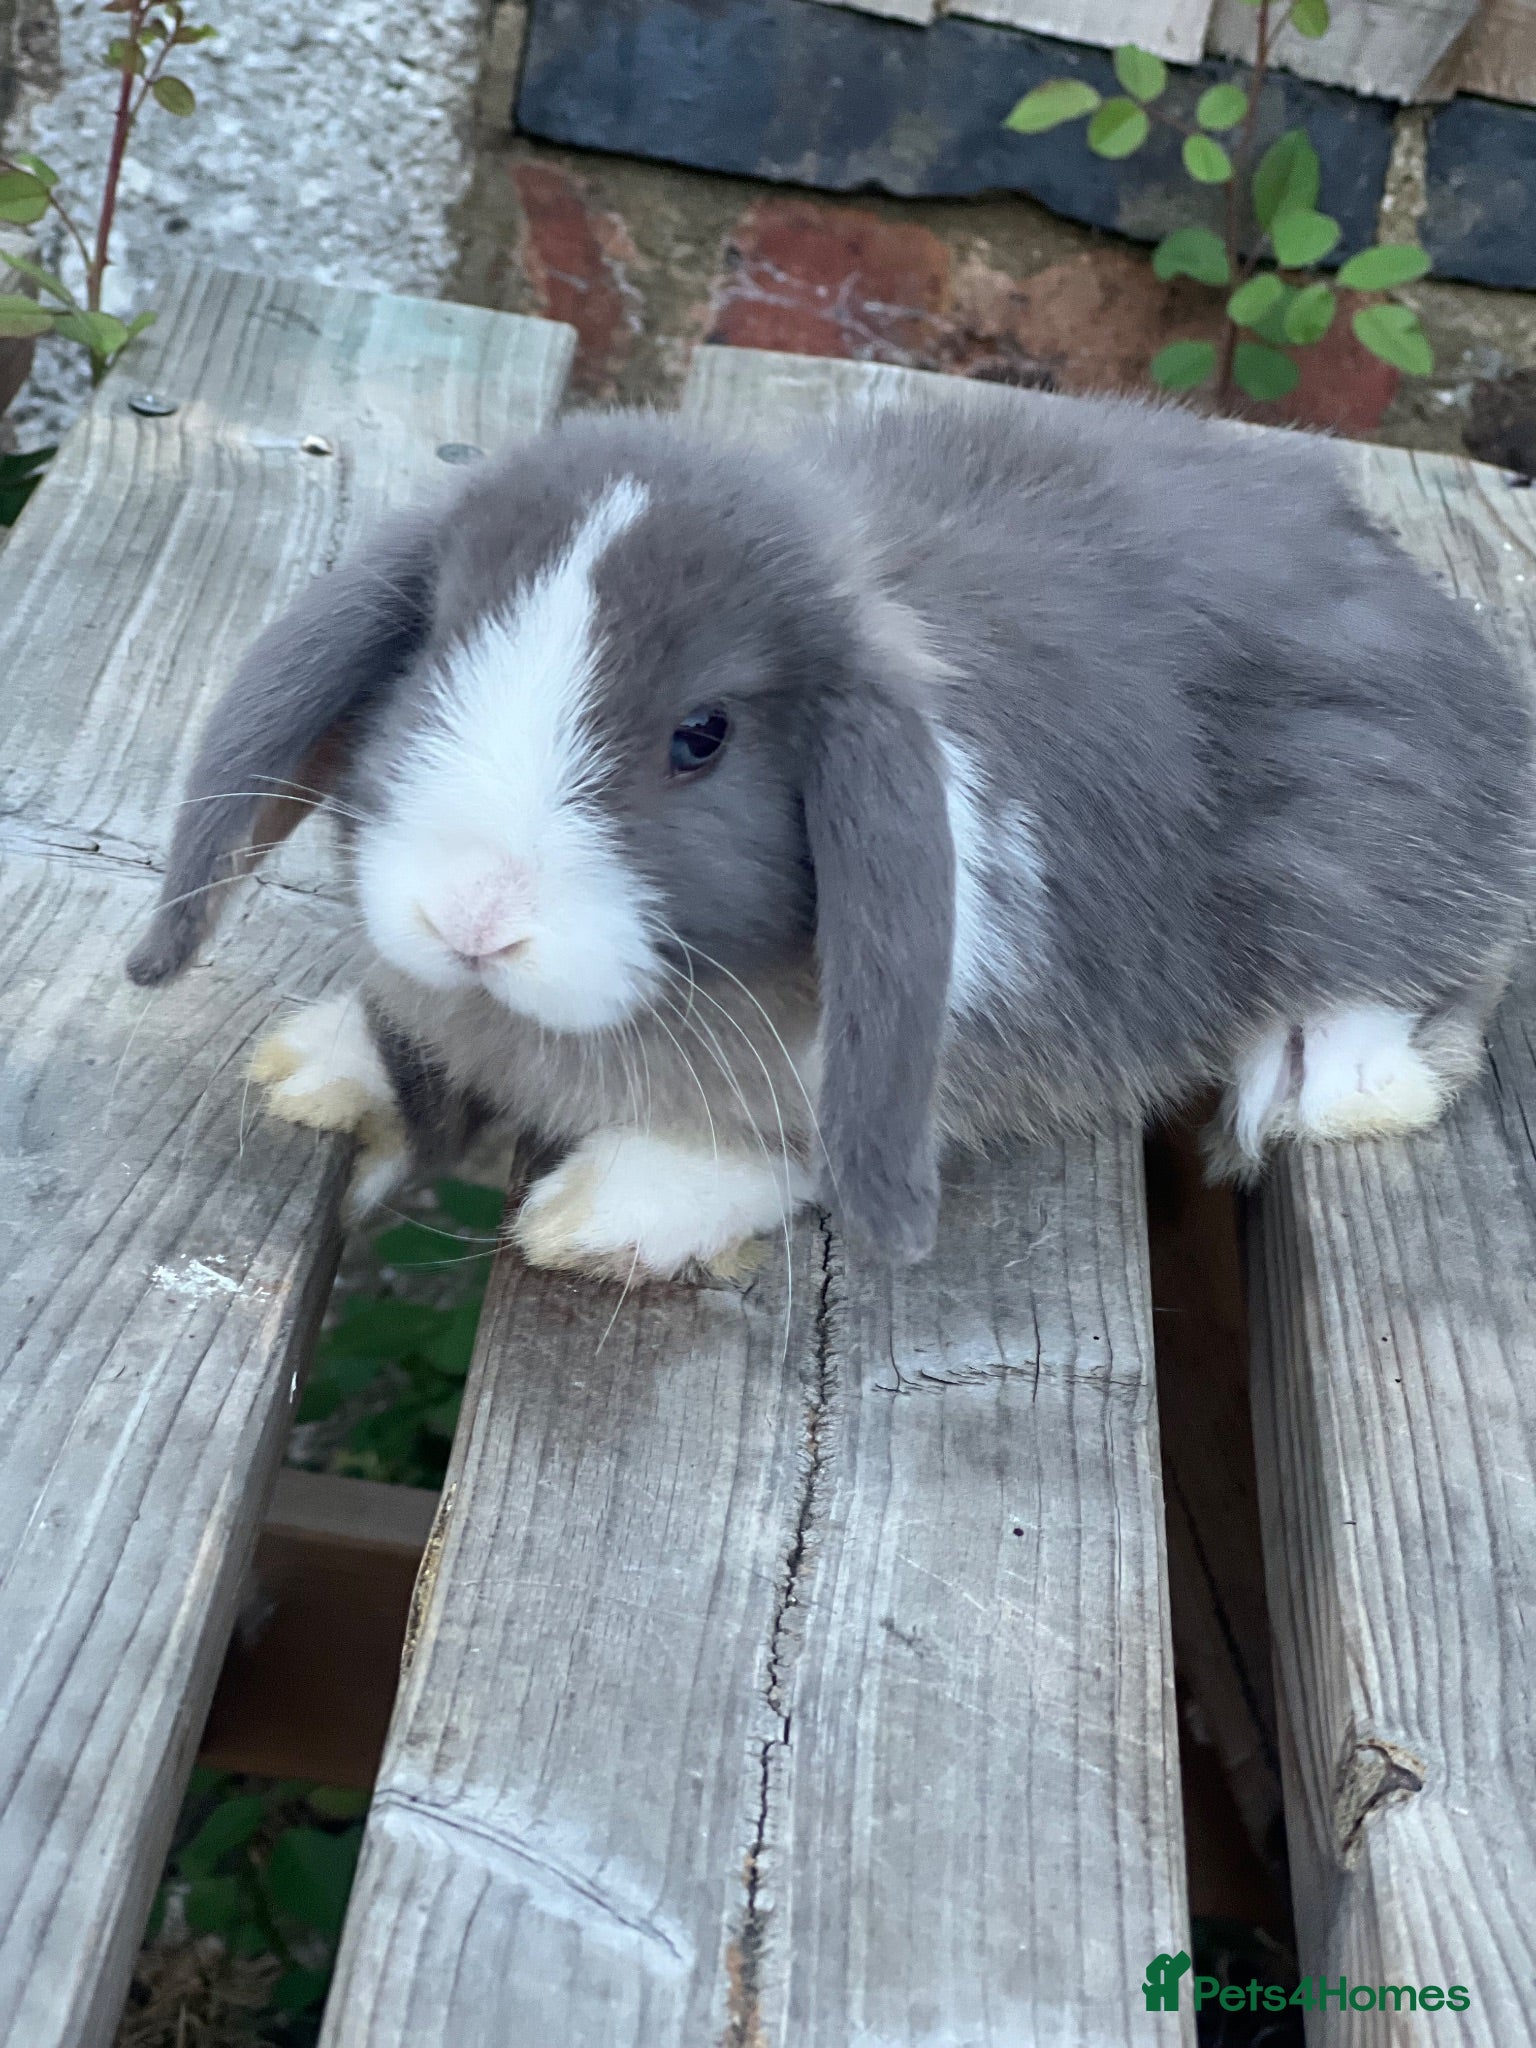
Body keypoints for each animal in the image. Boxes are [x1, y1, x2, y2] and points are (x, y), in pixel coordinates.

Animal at [126, 392, 1533, 1280]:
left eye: (702, 736)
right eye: (429, 659)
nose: (472, 914)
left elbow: (783, 1147)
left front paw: (609, 1212)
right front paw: (321, 1062)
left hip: (1360, 849)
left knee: (1423, 982)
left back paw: (1315, 1082)